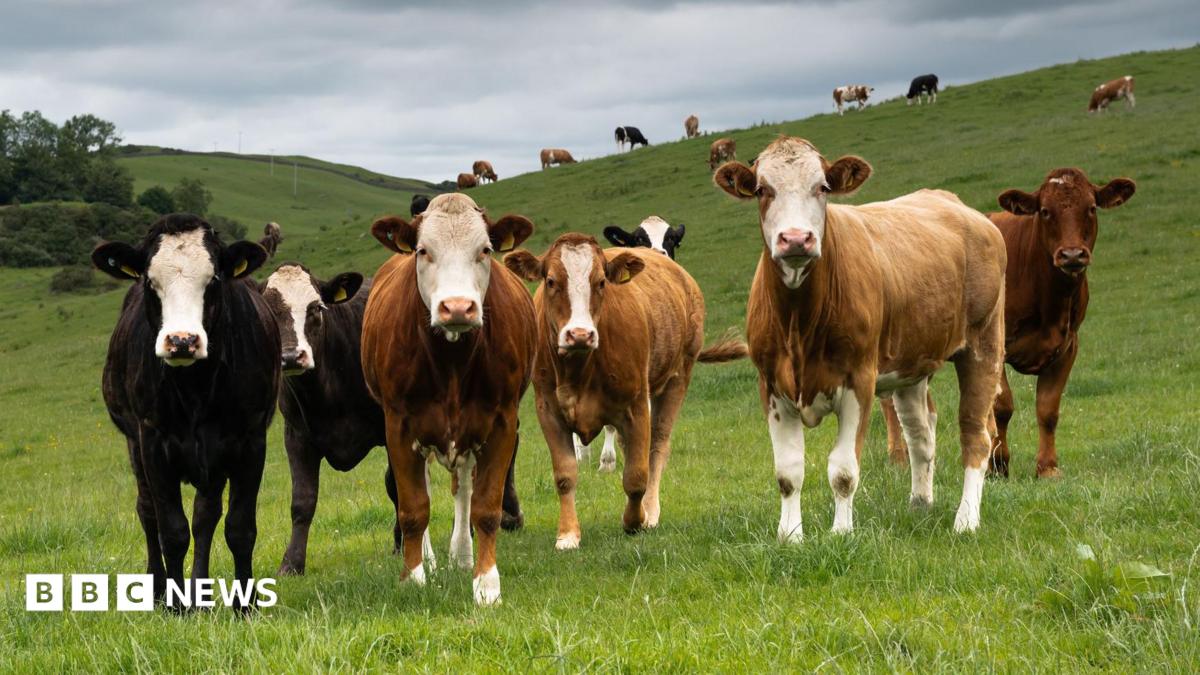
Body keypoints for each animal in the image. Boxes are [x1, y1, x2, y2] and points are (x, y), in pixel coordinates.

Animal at [91, 213, 279, 610]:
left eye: (214, 279)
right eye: (150, 281)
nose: (181, 341)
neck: (196, 388)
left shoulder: (250, 441)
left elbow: (238, 527)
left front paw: (245, 605)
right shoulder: (153, 441)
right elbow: (172, 530)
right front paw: (176, 606)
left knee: (205, 517)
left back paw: (201, 592)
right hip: (134, 445)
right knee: (147, 511)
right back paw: (160, 589)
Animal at [362, 193, 536, 606]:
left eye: (485, 250)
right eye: (423, 250)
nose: (457, 307)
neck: (452, 363)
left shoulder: (502, 422)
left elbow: (485, 508)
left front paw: (486, 583)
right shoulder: (398, 424)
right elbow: (413, 507)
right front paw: (414, 577)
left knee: (464, 490)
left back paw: (461, 555)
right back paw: (428, 558)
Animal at [504, 235, 747, 549]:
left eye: (601, 282)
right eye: (550, 281)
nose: (580, 334)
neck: (579, 369)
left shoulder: (637, 406)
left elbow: (636, 475)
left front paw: (635, 520)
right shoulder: (548, 410)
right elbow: (565, 475)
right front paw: (568, 534)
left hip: (677, 378)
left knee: (657, 446)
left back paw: (651, 511)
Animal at [712, 136, 1006, 540]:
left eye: (822, 187)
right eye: (761, 190)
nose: (796, 239)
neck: (799, 323)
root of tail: (956, 204)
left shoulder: (859, 381)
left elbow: (843, 470)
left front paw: (841, 533)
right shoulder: (771, 386)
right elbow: (788, 473)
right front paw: (790, 536)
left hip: (983, 343)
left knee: (976, 433)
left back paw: (966, 519)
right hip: (910, 365)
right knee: (921, 433)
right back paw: (920, 503)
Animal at [987, 168, 1137, 478]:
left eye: (1091, 208)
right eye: (1045, 211)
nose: (1072, 254)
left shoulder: (1067, 346)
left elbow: (1048, 409)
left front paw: (1047, 468)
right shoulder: (996, 344)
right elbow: (1002, 406)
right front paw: (998, 466)